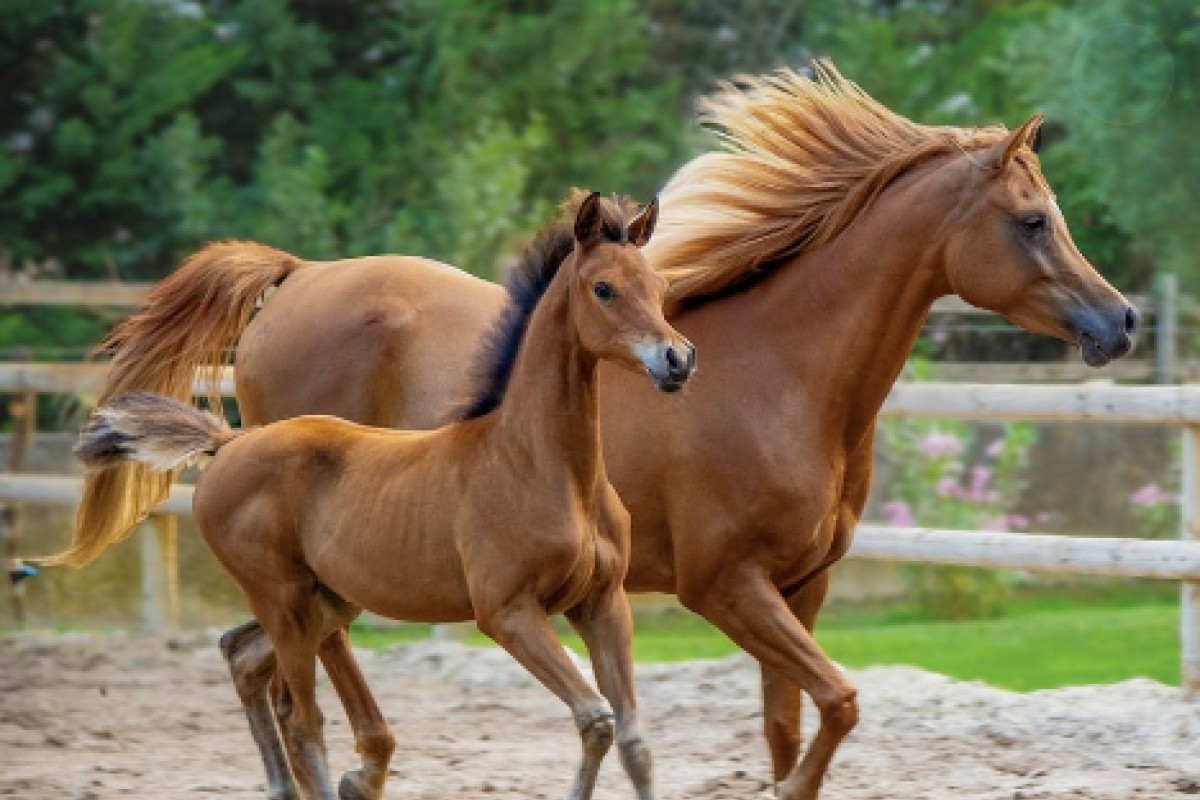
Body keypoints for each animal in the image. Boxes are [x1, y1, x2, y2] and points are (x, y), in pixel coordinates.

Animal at [75, 191, 696, 800]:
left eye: (658, 286)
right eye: (604, 288)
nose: (678, 359)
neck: (544, 465)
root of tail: (228, 443)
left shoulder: (602, 603)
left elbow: (632, 739)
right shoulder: (508, 612)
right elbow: (596, 717)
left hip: (324, 600)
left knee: (245, 655)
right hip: (285, 602)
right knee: (302, 722)